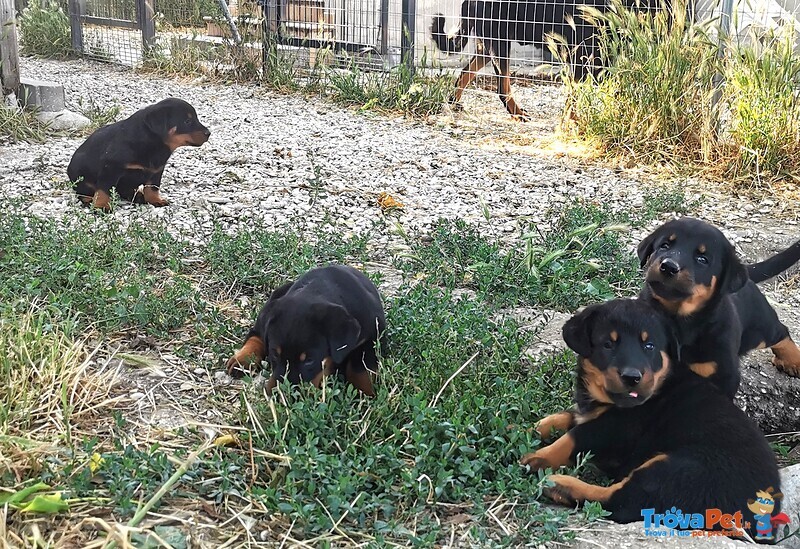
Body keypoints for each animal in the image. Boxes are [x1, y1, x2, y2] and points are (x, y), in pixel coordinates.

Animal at [67, 97, 209, 211]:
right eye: (187, 121)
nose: (208, 133)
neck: (154, 143)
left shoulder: (157, 170)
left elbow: (153, 187)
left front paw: (155, 200)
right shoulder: (110, 168)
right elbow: (104, 189)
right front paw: (102, 206)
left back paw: (138, 196)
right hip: (80, 175)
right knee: (84, 191)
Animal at [225, 264, 388, 396]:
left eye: (309, 360)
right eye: (275, 354)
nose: (281, 396)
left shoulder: (373, 333)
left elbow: (361, 366)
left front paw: (363, 393)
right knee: (256, 334)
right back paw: (242, 360)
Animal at [520, 298, 780, 536]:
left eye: (650, 346)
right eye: (608, 344)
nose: (632, 377)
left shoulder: (614, 428)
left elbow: (572, 438)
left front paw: (537, 457)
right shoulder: (590, 411)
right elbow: (559, 418)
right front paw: (522, 431)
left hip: (678, 469)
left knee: (621, 502)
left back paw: (559, 485)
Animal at [636, 214, 800, 394]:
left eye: (702, 259)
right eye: (664, 245)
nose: (668, 266)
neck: (679, 318)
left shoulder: (723, 375)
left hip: (759, 330)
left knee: (781, 331)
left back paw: (793, 362)